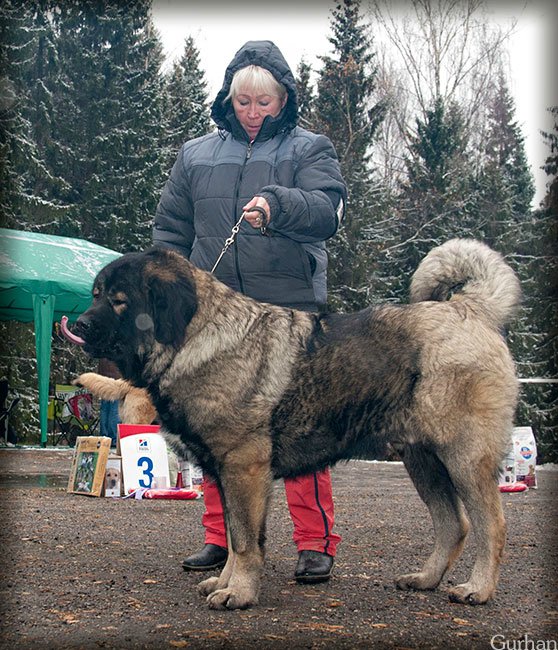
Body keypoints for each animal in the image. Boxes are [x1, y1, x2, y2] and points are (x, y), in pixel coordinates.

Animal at [73, 238, 520, 608]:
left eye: (119, 300)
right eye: (95, 295)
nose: (78, 325)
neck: (196, 339)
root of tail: (467, 309)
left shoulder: (243, 469)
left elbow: (246, 542)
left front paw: (238, 592)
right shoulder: (225, 473)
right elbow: (234, 536)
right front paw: (225, 582)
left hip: (463, 458)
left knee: (491, 526)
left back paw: (478, 589)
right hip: (423, 462)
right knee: (453, 525)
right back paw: (426, 579)